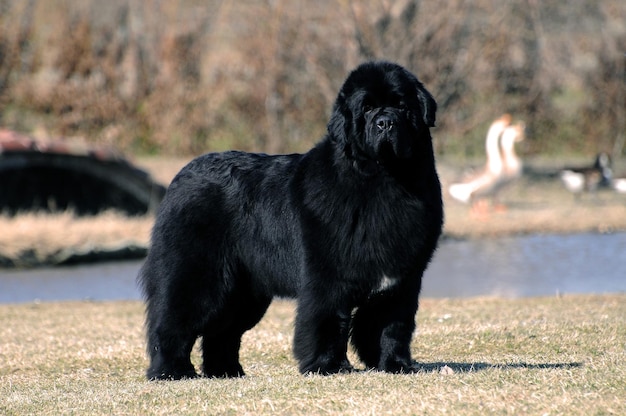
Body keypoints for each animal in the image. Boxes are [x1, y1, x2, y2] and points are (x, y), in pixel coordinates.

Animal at [139, 61, 442, 380]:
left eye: (402, 106)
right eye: (367, 108)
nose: (386, 123)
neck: (384, 180)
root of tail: (181, 176)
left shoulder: (401, 281)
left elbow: (391, 326)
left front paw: (395, 364)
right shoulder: (327, 278)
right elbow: (327, 320)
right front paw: (327, 366)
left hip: (244, 293)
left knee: (223, 332)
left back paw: (227, 371)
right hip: (197, 275)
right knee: (173, 322)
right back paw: (172, 371)